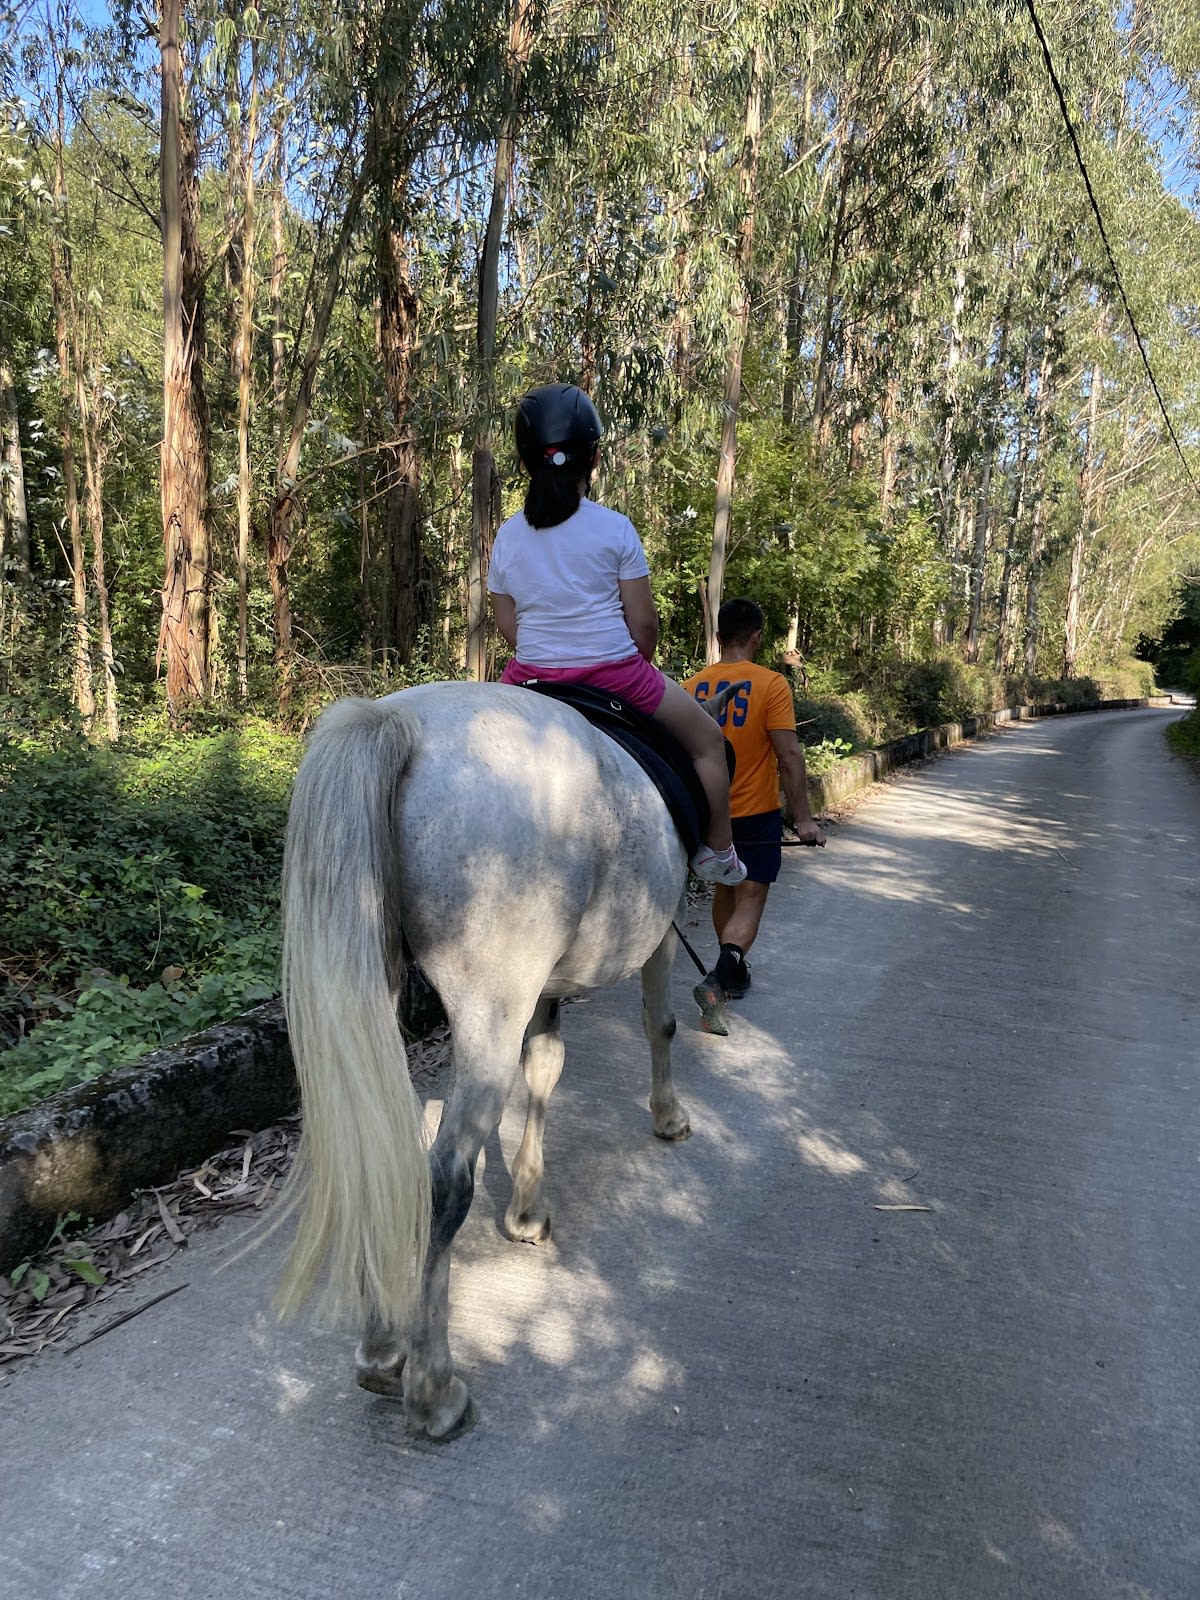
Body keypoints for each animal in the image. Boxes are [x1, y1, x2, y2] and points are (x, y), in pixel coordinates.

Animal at [276, 679, 731, 1440]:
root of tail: (398, 720)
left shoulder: (543, 990)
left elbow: (544, 1068)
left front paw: (525, 1210)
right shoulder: (661, 936)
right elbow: (658, 1025)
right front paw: (669, 1117)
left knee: (381, 1152)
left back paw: (382, 1349)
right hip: (489, 1003)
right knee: (444, 1177)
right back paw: (432, 1388)